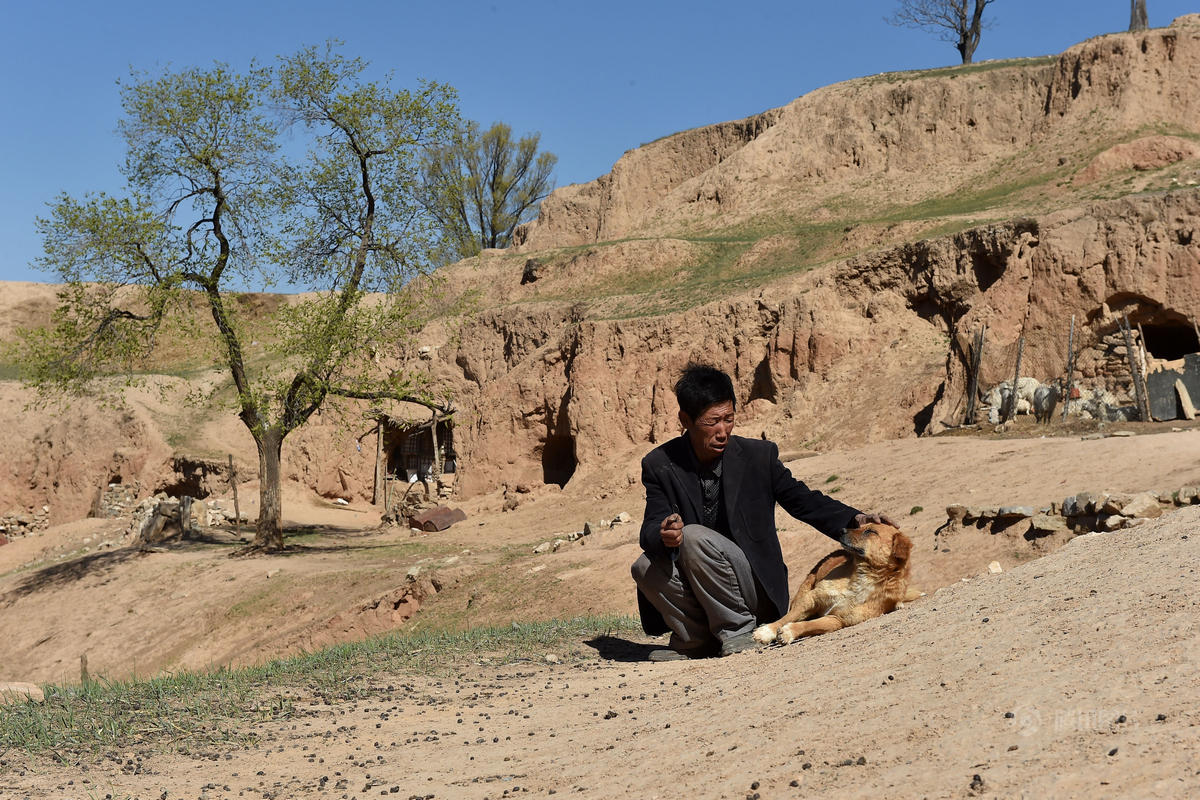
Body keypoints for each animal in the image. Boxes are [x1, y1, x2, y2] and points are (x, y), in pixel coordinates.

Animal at [748, 522, 916, 647]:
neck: (864, 576)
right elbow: (787, 617)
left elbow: (810, 625)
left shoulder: (838, 619)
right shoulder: (811, 599)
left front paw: (790, 632)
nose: (841, 530)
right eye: (861, 526)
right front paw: (766, 631)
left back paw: (898, 605)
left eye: (870, 531)